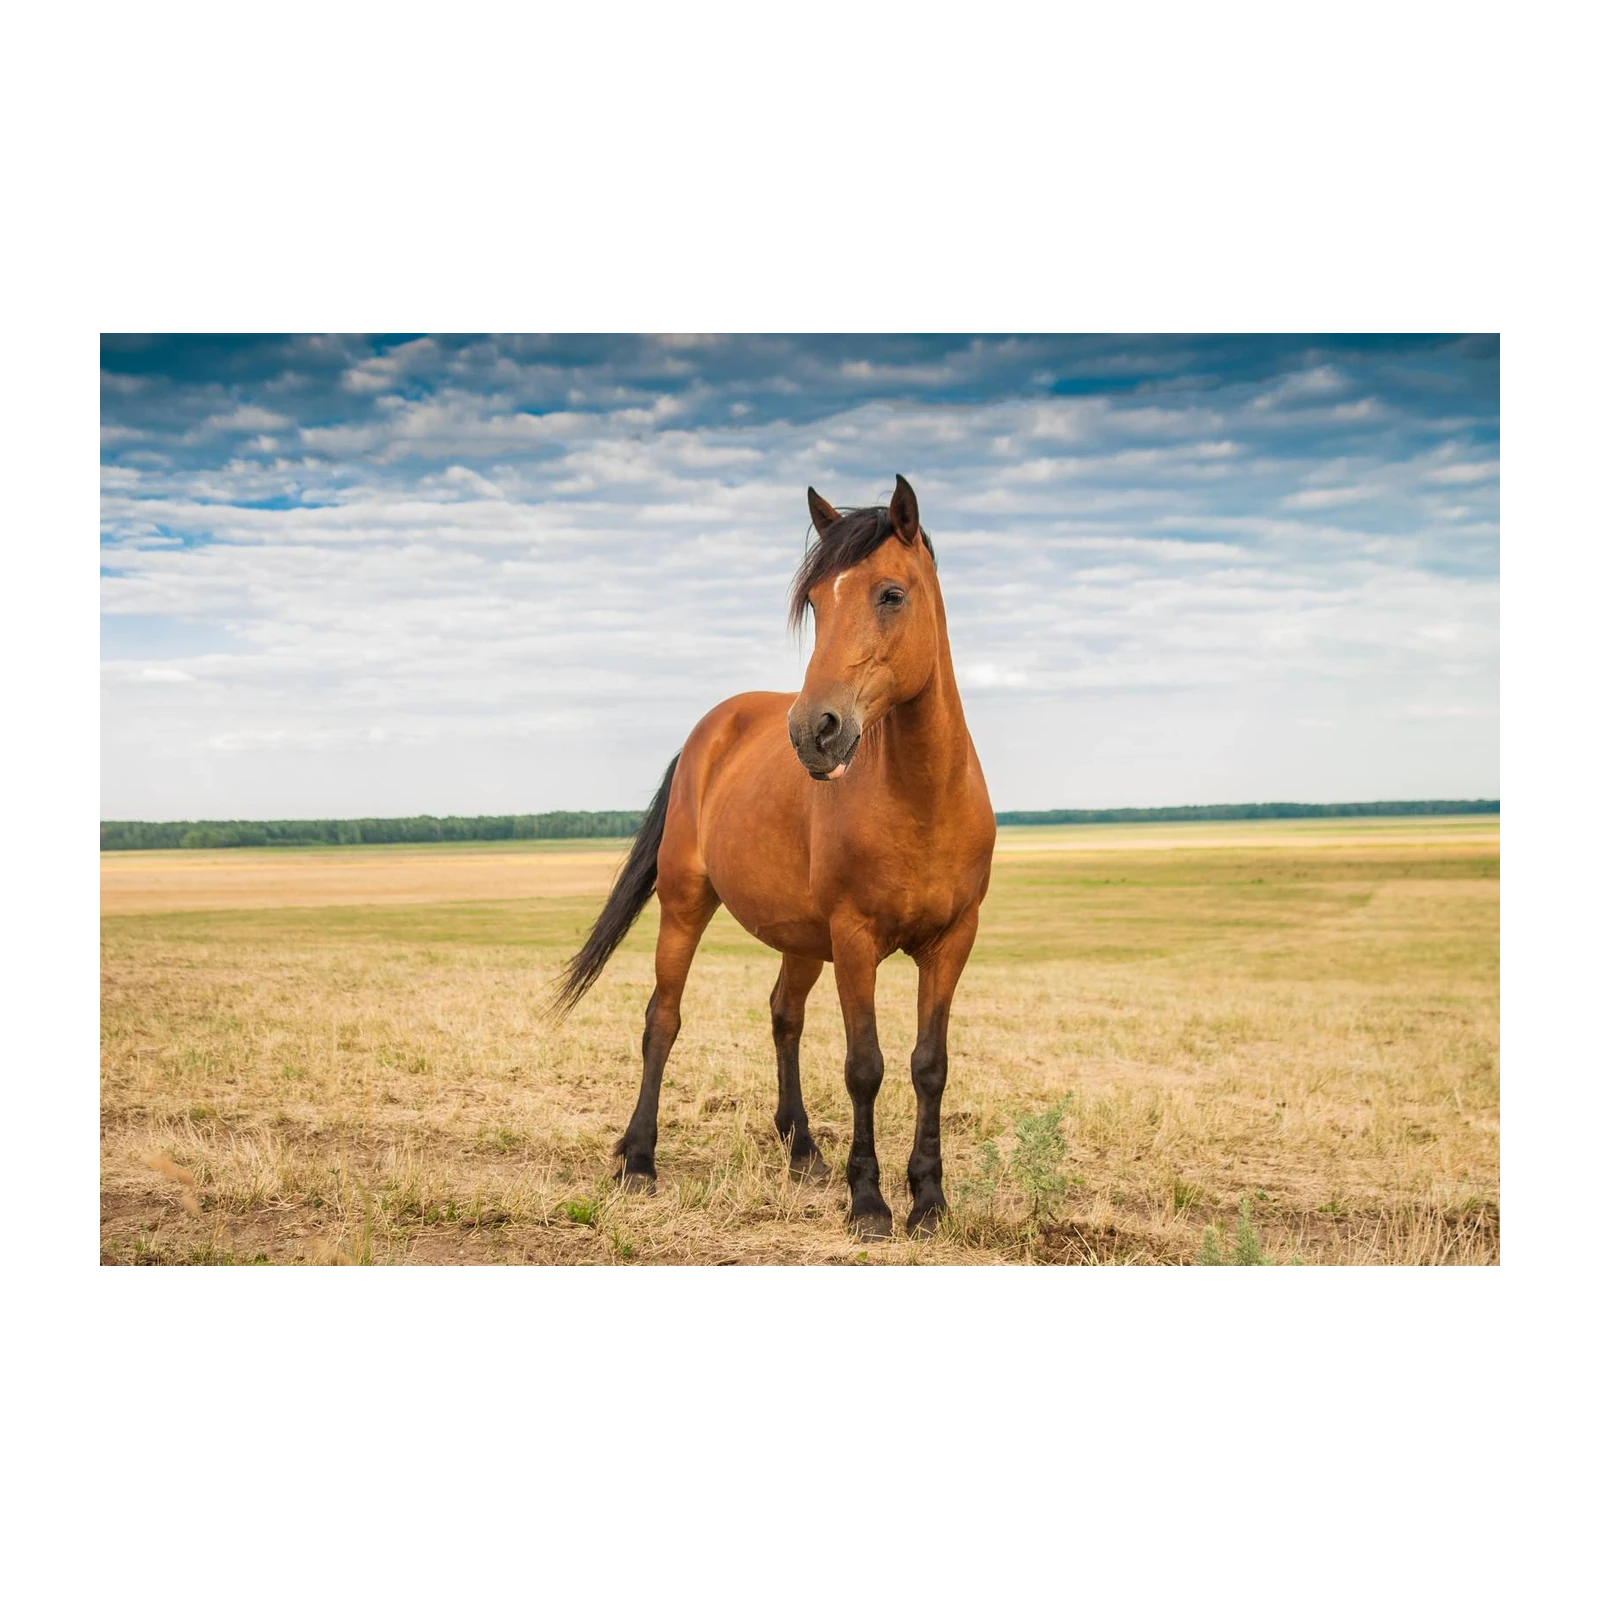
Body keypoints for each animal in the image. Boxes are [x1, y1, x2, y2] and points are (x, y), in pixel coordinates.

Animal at [550, 474, 996, 1238]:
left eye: (890, 594)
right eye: (814, 603)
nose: (814, 730)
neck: (923, 796)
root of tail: (710, 730)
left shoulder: (951, 941)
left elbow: (929, 1065)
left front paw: (930, 1200)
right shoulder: (855, 939)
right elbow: (865, 1065)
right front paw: (869, 1202)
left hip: (802, 938)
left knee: (784, 1014)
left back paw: (803, 1150)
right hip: (687, 906)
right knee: (662, 1020)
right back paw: (639, 1160)